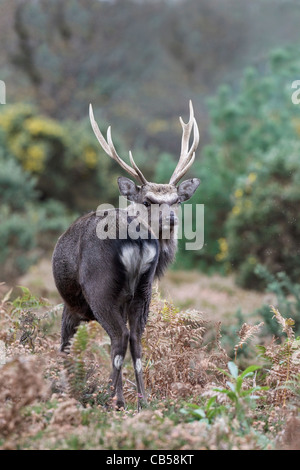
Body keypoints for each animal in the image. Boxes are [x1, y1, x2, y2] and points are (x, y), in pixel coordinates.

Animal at [52, 100, 200, 408]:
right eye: (149, 200)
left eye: (176, 200)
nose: (171, 219)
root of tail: (138, 239)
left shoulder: (71, 305)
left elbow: (65, 346)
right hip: (143, 291)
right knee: (136, 341)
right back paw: (143, 400)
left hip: (99, 287)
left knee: (119, 338)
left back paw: (111, 399)